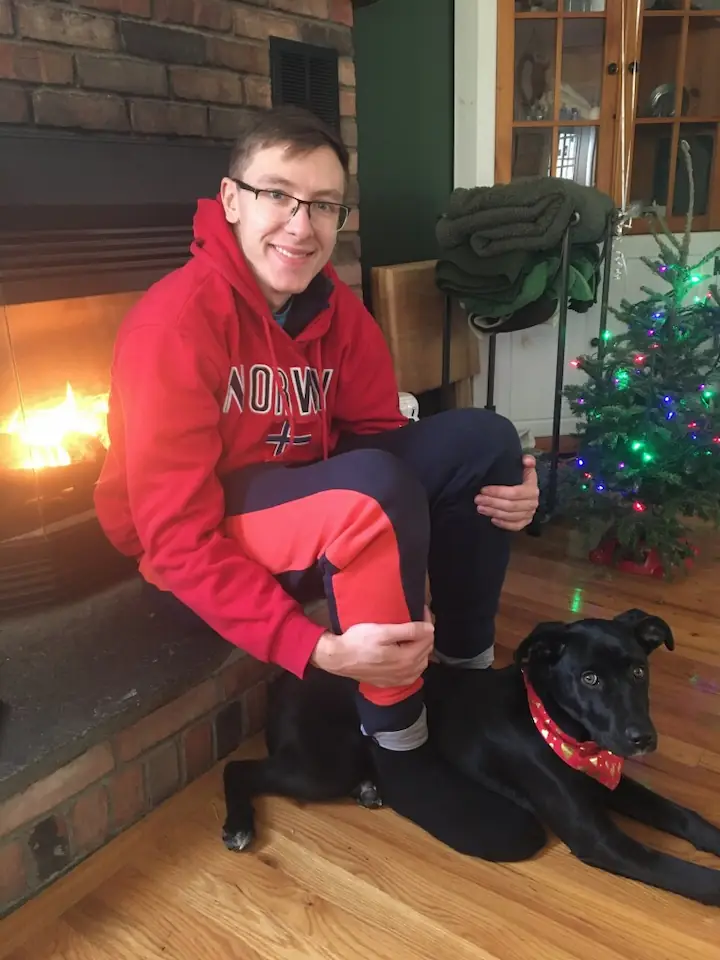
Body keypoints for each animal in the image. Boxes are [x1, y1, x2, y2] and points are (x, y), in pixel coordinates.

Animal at [221, 612, 720, 904]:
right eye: (590, 678)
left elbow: (681, 814)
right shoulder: (598, 838)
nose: (643, 739)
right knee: (237, 768)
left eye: (638, 670)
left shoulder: (608, 781)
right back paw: (238, 825)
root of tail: (288, 677)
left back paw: (369, 790)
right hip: (323, 766)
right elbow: (678, 870)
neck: (556, 724)